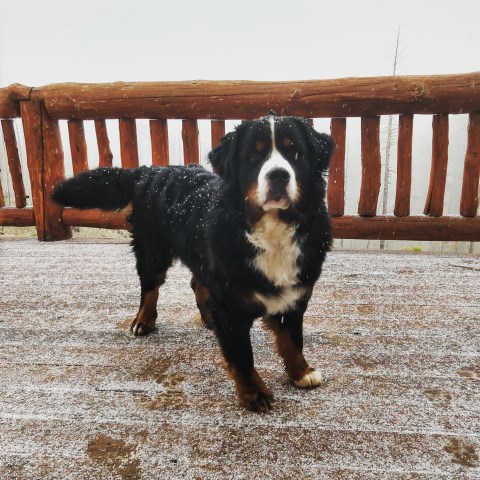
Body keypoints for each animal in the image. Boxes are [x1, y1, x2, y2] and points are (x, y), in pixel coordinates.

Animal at [52, 116, 334, 412]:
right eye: (253, 156)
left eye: (295, 152)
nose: (278, 175)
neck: (271, 233)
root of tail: (150, 170)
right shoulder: (230, 305)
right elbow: (242, 355)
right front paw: (254, 392)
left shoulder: (295, 294)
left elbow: (292, 339)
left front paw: (301, 372)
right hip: (153, 251)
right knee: (149, 288)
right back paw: (143, 320)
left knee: (196, 282)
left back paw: (208, 316)